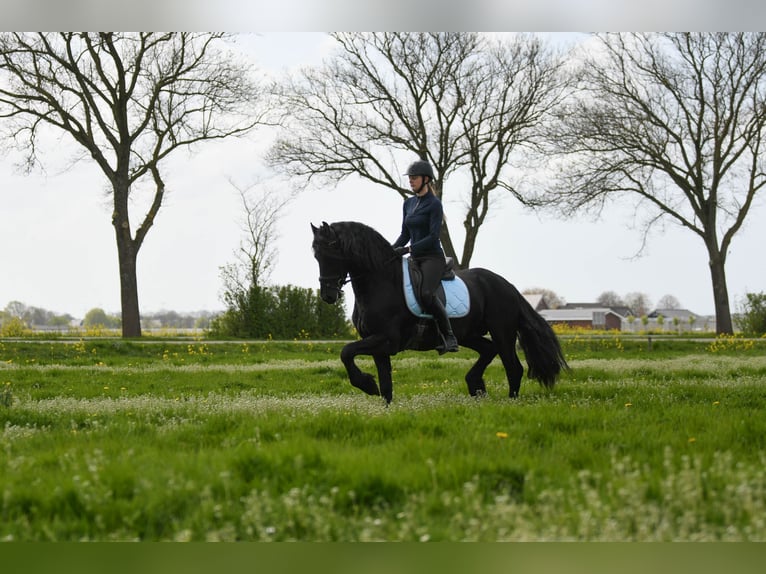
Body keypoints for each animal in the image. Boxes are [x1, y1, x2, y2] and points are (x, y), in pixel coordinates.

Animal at [311, 220, 569, 404]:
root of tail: (507, 285)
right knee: (488, 350)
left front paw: (366, 384)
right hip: (468, 335)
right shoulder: (377, 344)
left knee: (513, 368)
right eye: (316, 256)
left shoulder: (386, 340)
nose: (328, 296)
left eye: (331, 255)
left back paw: (508, 402)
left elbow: (346, 352)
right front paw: (380, 400)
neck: (382, 282)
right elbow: (385, 384)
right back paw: (475, 385)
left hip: (503, 332)